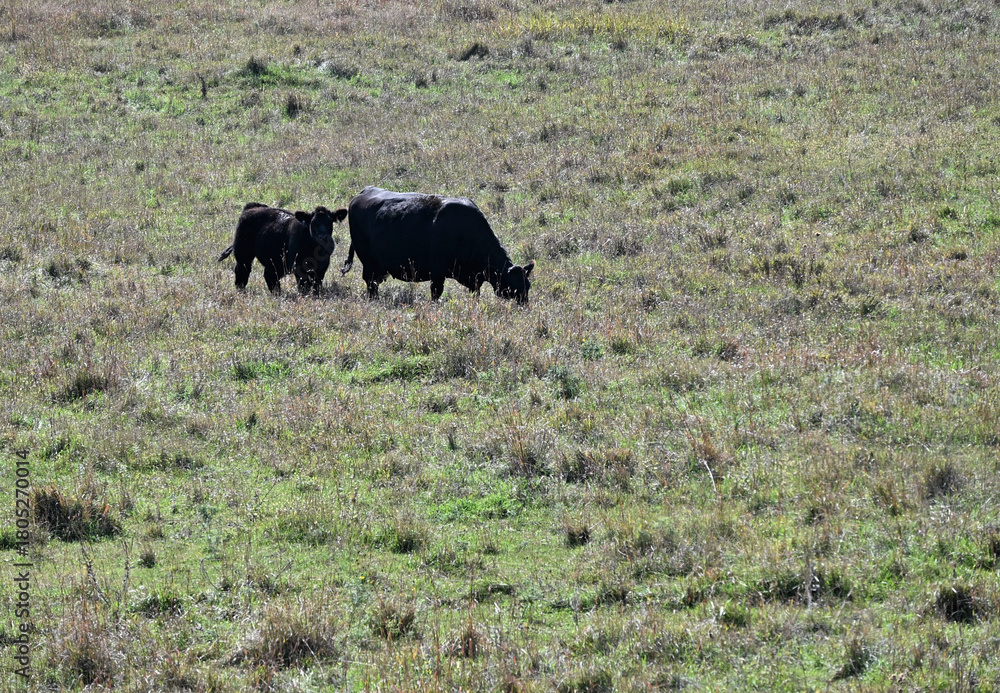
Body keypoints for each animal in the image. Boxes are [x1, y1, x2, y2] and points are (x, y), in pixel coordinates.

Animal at [218, 202, 347, 295]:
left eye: (330, 222)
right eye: (313, 223)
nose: (323, 236)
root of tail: (251, 207)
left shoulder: (322, 267)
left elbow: (317, 285)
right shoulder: (298, 267)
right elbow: (304, 286)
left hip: (274, 260)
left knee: (270, 276)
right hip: (243, 253)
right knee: (242, 271)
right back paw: (241, 290)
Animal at [341, 186, 535, 304]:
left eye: (528, 286)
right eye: (514, 287)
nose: (524, 306)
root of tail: (364, 192)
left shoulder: (474, 279)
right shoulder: (437, 274)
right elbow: (436, 294)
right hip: (369, 264)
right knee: (371, 284)